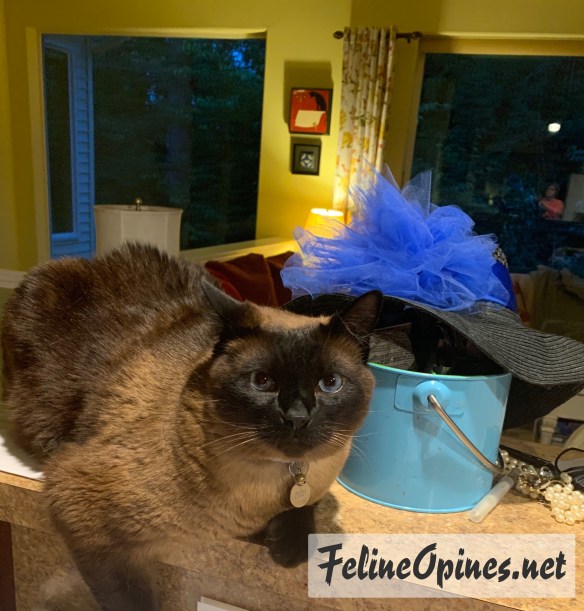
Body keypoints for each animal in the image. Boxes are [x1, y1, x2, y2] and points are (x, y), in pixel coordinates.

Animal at [1, 243, 381, 610]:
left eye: (329, 383)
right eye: (262, 381)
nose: (298, 417)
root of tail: (89, 260)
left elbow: (302, 513)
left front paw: (286, 546)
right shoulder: (85, 516)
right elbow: (133, 601)